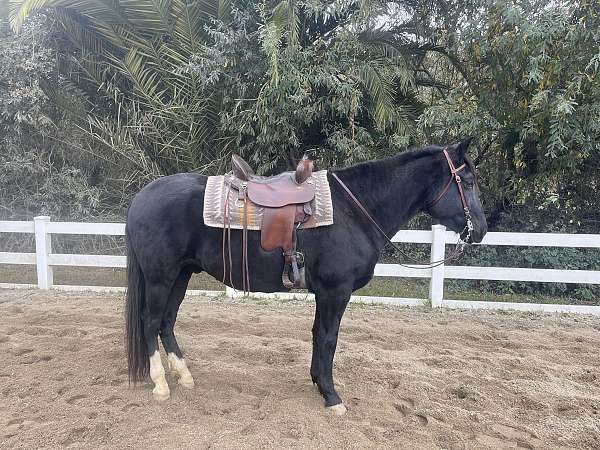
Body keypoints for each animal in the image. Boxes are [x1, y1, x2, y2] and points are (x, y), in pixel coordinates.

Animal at [124, 141, 486, 414]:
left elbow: (317, 335)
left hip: (181, 275)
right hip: (160, 277)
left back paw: (184, 376)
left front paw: (317, 382)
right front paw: (331, 395)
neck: (354, 209)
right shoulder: (335, 291)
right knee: (150, 321)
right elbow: (328, 338)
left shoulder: (325, 292)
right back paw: (160, 384)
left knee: (166, 322)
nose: (481, 230)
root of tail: (142, 197)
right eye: (467, 182)